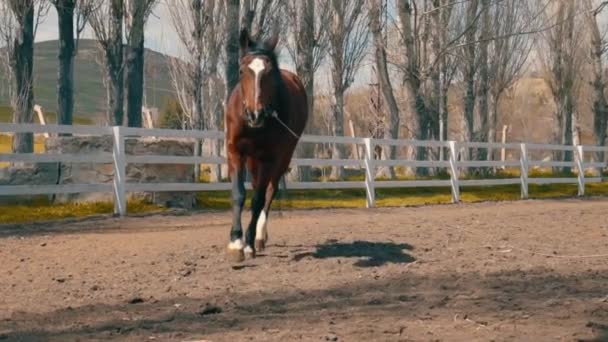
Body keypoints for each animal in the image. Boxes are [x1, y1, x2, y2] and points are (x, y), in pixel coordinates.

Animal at [224, 28, 306, 262]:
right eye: (242, 70)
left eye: (270, 73)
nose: (256, 114)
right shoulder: (235, 152)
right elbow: (239, 194)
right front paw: (235, 242)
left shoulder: (269, 158)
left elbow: (258, 200)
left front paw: (248, 243)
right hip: (253, 160)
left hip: (282, 157)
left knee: (270, 190)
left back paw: (260, 236)